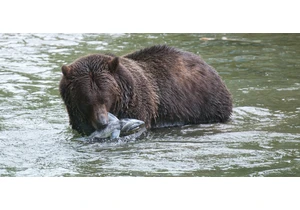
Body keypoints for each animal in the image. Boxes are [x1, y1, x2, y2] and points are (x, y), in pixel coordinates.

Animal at [59, 45, 232, 135]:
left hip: (205, 104)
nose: (102, 123)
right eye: (86, 100)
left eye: (106, 98)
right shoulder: (77, 115)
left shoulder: (138, 104)